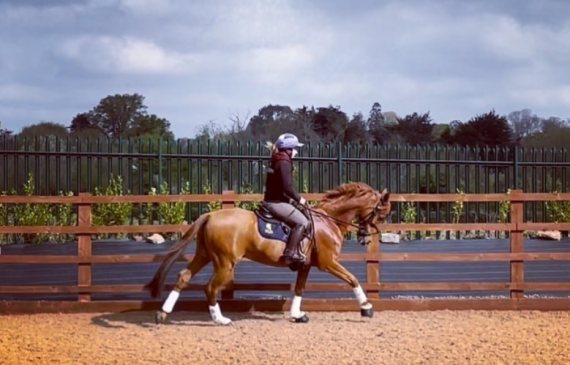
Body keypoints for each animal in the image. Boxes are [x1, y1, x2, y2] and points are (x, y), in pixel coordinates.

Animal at [145, 182, 390, 324]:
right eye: (380, 213)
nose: (366, 237)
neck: (327, 220)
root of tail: (211, 215)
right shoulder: (328, 262)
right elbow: (352, 279)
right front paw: (366, 308)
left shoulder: (305, 265)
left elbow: (299, 289)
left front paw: (297, 315)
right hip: (225, 263)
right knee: (210, 288)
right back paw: (220, 319)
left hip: (204, 255)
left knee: (184, 277)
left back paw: (163, 313)